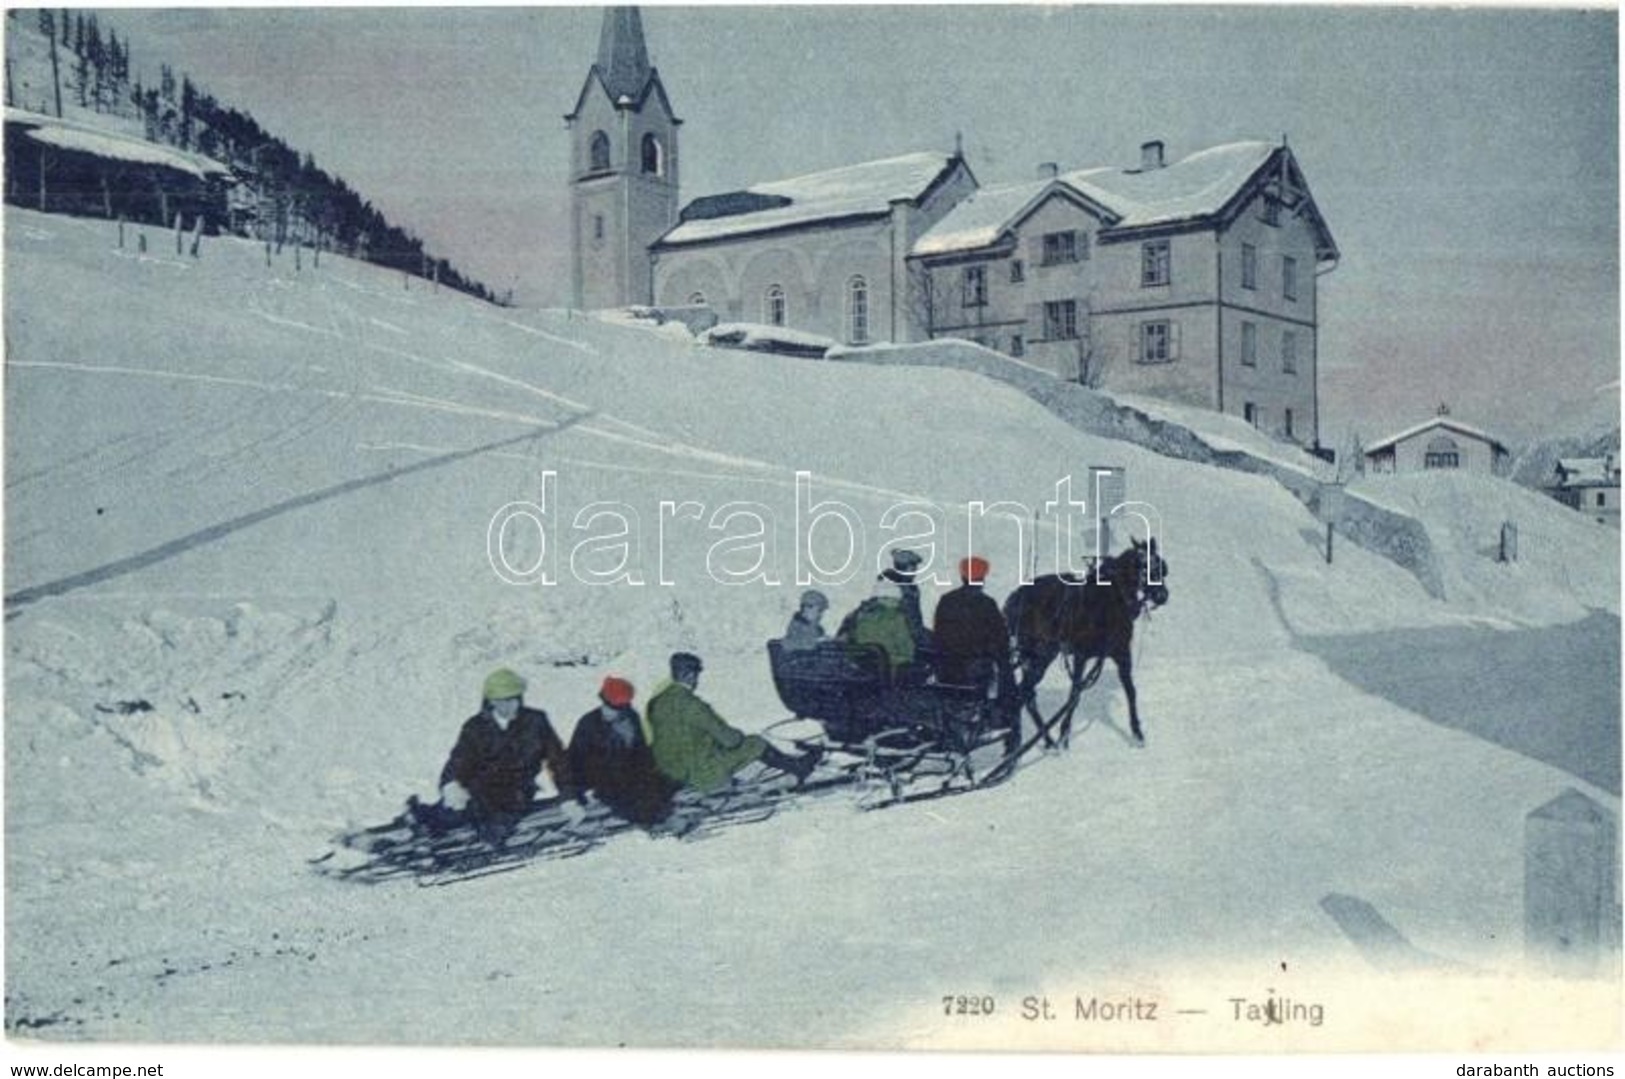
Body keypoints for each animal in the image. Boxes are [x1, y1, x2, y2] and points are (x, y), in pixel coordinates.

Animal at [1001, 536, 1170, 747]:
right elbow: (1075, 694)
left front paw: (1137, 732)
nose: (1163, 596)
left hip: (1040, 656)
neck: (1110, 601)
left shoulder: (1121, 653)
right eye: (1145, 568)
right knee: (1024, 693)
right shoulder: (1081, 656)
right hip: (1039, 655)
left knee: (1026, 694)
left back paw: (1044, 740)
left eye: (1162, 568)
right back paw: (1039, 741)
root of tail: (1014, 599)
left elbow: (1130, 691)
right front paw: (1064, 735)